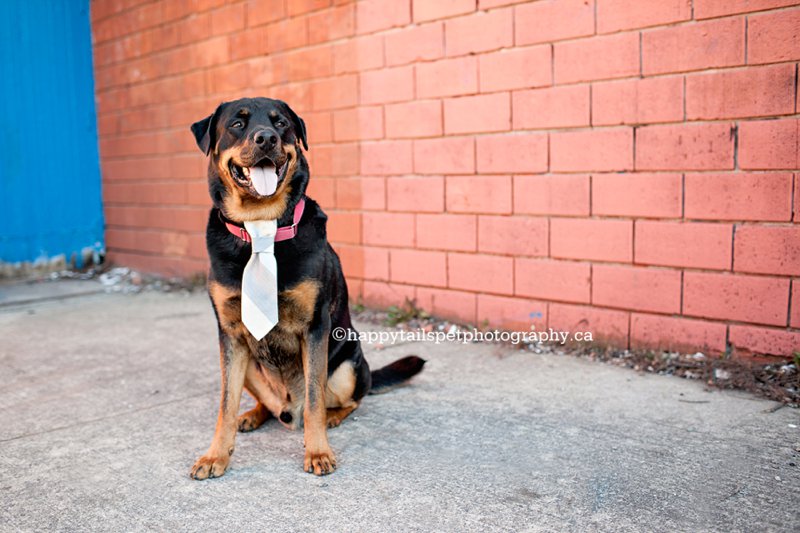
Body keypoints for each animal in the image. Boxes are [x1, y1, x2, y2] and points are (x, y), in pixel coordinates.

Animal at [188, 97, 424, 476]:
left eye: (281, 123)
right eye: (237, 124)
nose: (266, 138)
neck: (261, 225)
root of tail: (288, 409)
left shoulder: (314, 328)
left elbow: (314, 399)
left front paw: (317, 451)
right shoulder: (230, 334)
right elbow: (225, 404)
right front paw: (215, 455)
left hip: (348, 365)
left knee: (346, 400)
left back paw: (333, 417)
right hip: (249, 362)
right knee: (261, 403)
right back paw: (252, 415)